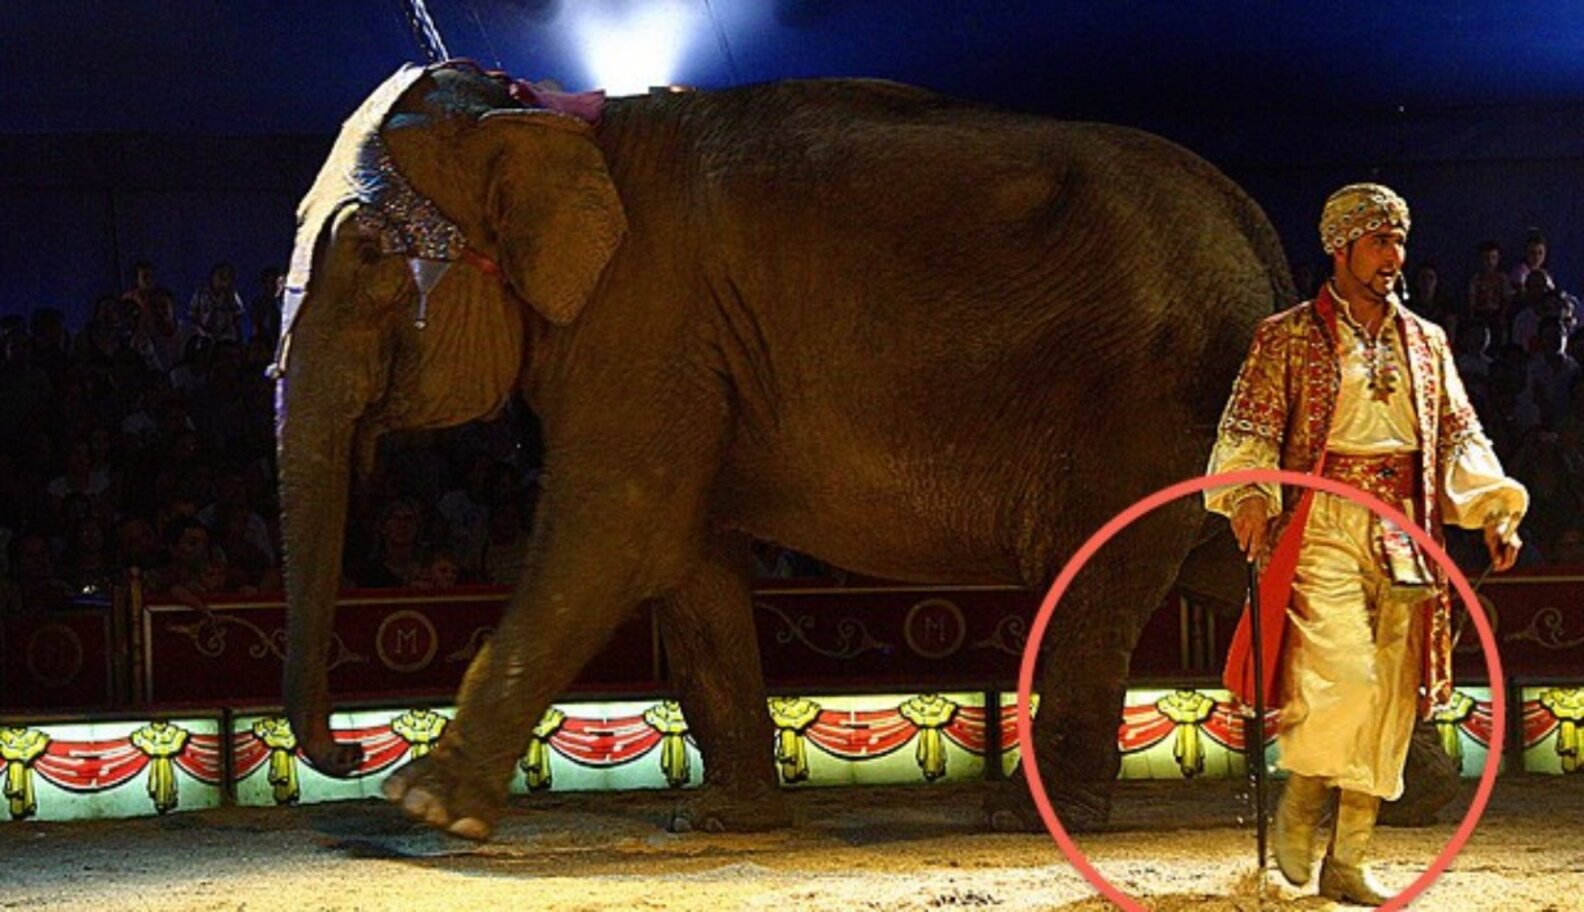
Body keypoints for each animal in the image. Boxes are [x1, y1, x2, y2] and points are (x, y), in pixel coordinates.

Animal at [276, 61, 1452, 841]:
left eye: (367, 252)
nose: (346, 753)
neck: (550, 117)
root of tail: (1264, 238)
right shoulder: (683, 347)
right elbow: (683, 554)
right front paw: (721, 821)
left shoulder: (644, 322)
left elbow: (617, 529)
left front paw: (424, 807)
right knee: (1241, 568)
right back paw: (1408, 806)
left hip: (1144, 398)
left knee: (1108, 581)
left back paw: (1033, 817)